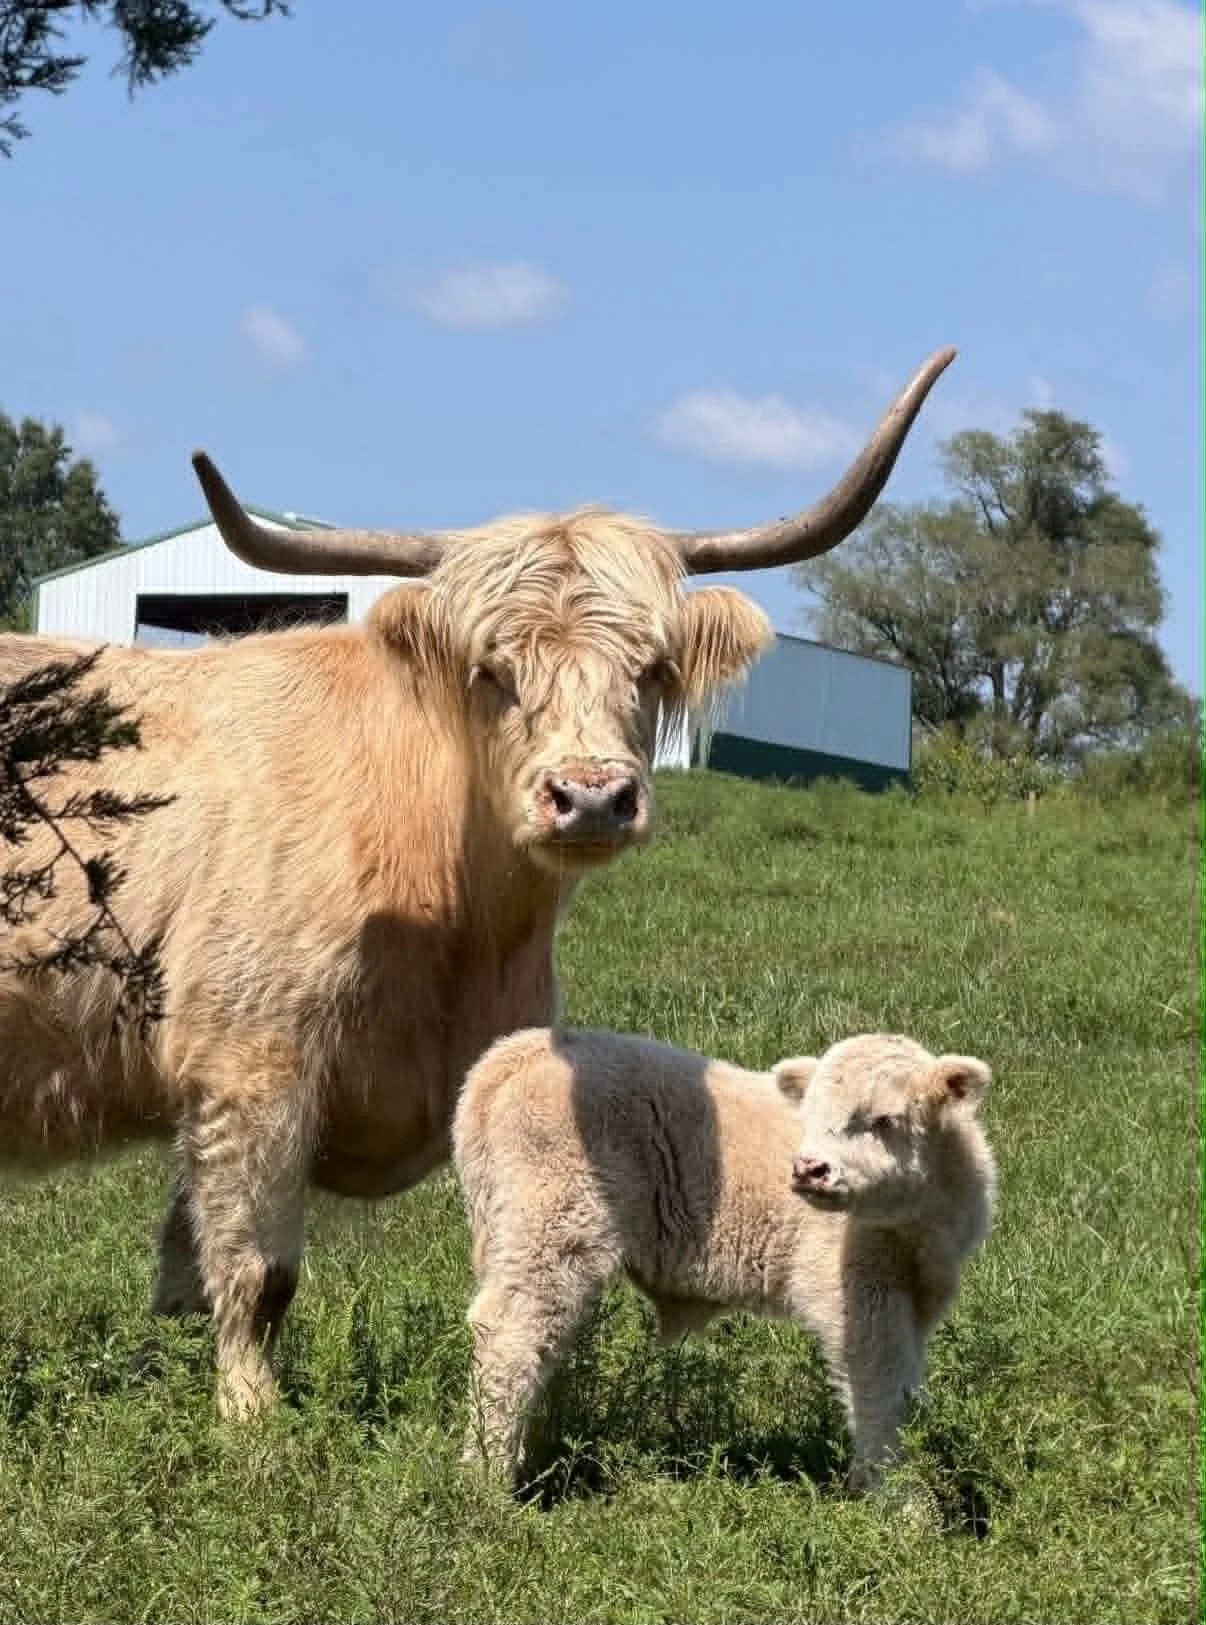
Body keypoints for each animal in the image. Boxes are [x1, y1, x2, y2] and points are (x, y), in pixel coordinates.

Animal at [0, 349, 955, 1420]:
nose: (589, 796)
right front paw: (252, 1423)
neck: (462, 931)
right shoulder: (253, 1069)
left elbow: (183, 1269)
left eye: (651, 668)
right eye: (492, 670)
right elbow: (254, 1273)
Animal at [454, 1028, 995, 1491]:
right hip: (554, 1228)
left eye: (885, 1120)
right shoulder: (860, 1296)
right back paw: (487, 1480)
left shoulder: (916, 1296)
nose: (808, 1169)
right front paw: (903, 1505)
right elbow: (880, 1392)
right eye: (810, 1116)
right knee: (510, 1340)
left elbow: (904, 1389)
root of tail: (520, 1051)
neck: (921, 1222)